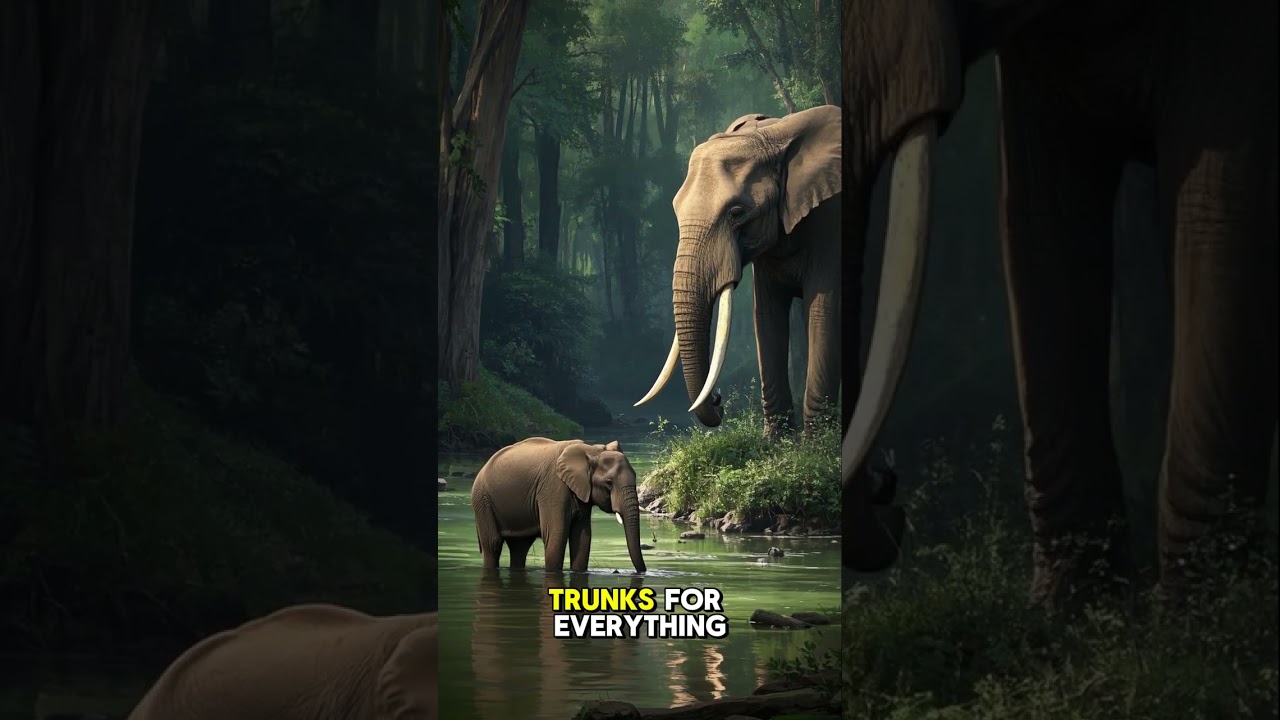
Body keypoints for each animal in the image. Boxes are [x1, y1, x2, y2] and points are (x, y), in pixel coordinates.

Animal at [471, 437, 646, 573]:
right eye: (609, 483)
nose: (641, 572)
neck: (591, 451)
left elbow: (582, 537)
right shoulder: (552, 488)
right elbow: (556, 534)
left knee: (519, 547)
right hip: (482, 499)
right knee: (493, 543)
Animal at [635, 105, 843, 439]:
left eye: (736, 214)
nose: (719, 401)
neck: (774, 136)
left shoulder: (830, 220)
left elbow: (823, 312)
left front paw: (814, 444)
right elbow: (767, 315)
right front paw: (776, 444)